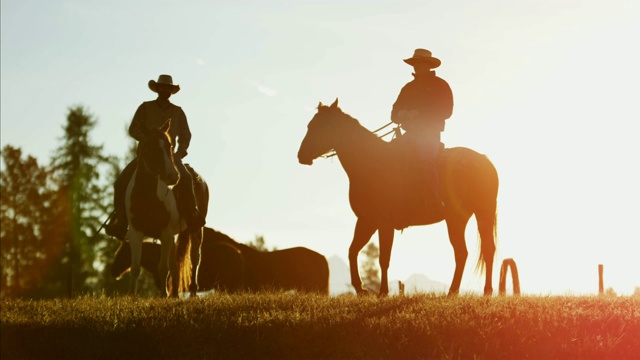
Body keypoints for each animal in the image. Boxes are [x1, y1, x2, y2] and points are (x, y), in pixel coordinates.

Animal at [127, 119, 210, 296]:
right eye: (151, 147)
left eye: (170, 146)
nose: (173, 176)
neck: (148, 197)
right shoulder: (136, 231)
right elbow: (135, 267)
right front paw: (131, 296)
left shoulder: (165, 232)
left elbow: (163, 268)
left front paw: (163, 295)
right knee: (175, 263)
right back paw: (175, 295)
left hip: (195, 230)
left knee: (194, 258)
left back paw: (192, 292)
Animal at [298, 100, 498, 296]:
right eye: (310, 125)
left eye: (325, 125)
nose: (301, 155)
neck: (369, 163)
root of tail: (484, 161)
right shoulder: (366, 221)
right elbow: (353, 250)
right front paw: (360, 288)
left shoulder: (384, 224)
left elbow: (384, 258)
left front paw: (383, 291)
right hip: (462, 218)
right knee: (470, 252)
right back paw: (463, 291)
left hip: (473, 216)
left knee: (477, 250)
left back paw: (474, 291)